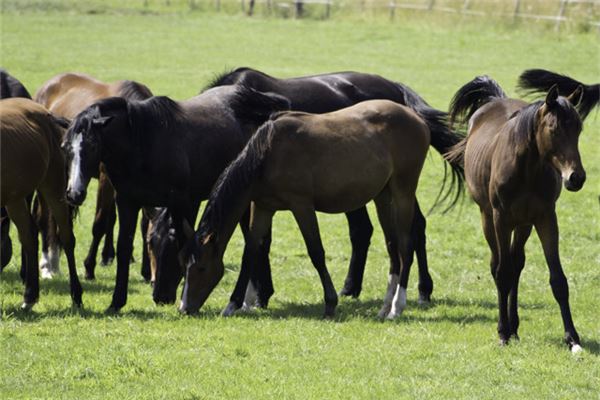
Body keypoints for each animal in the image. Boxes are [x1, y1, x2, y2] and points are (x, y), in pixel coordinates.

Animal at [0, 97, 82, 310]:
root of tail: (47, 114)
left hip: (53, 188)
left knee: (67, 239)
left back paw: (76, 295)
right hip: (15, 199)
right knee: (29, 236)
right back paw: (30, 296)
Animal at [34, 72, 154, 280]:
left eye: (93, 147)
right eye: (65, 147)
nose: (74, 194)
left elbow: (143, 223)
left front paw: (146, 271)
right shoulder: (107, 181)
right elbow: (100, 223)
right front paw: (89, 266)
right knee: (46, 216)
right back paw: (48, 263)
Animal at [62, 83, 290, 310]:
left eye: (92, 145)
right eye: (65, 148)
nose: (75, 193)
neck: (143, 145)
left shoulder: (183, 203)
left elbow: (183, 243)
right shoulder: (128, 202)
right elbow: (124, 247)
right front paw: (117, 302)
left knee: (256, 242)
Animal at [154, 67, 460, 308]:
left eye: (201, 267)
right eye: (152, 246)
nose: (168, 300)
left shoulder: (300, 204)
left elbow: (313, 251)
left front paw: (265, 297)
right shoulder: (262, 205)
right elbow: (251, 249)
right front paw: (239, 302)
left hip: (400, 189)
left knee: (413, 228)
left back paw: (418, 293)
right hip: (376, 192)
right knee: (373, 233)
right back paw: (359, 290)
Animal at [446, 76, 592, 352]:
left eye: (579, 130)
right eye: (554, 130)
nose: (576, 178)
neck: (526, 169)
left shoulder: (545, 218)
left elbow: (558, 280)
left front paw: (572, 338)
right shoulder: (501, 219)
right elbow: (502, 273)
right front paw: (502, 333)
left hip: (523, 225)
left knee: (516, 265)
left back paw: (515, 327)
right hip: (488, 219)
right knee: (499, 265)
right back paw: (507, 328)